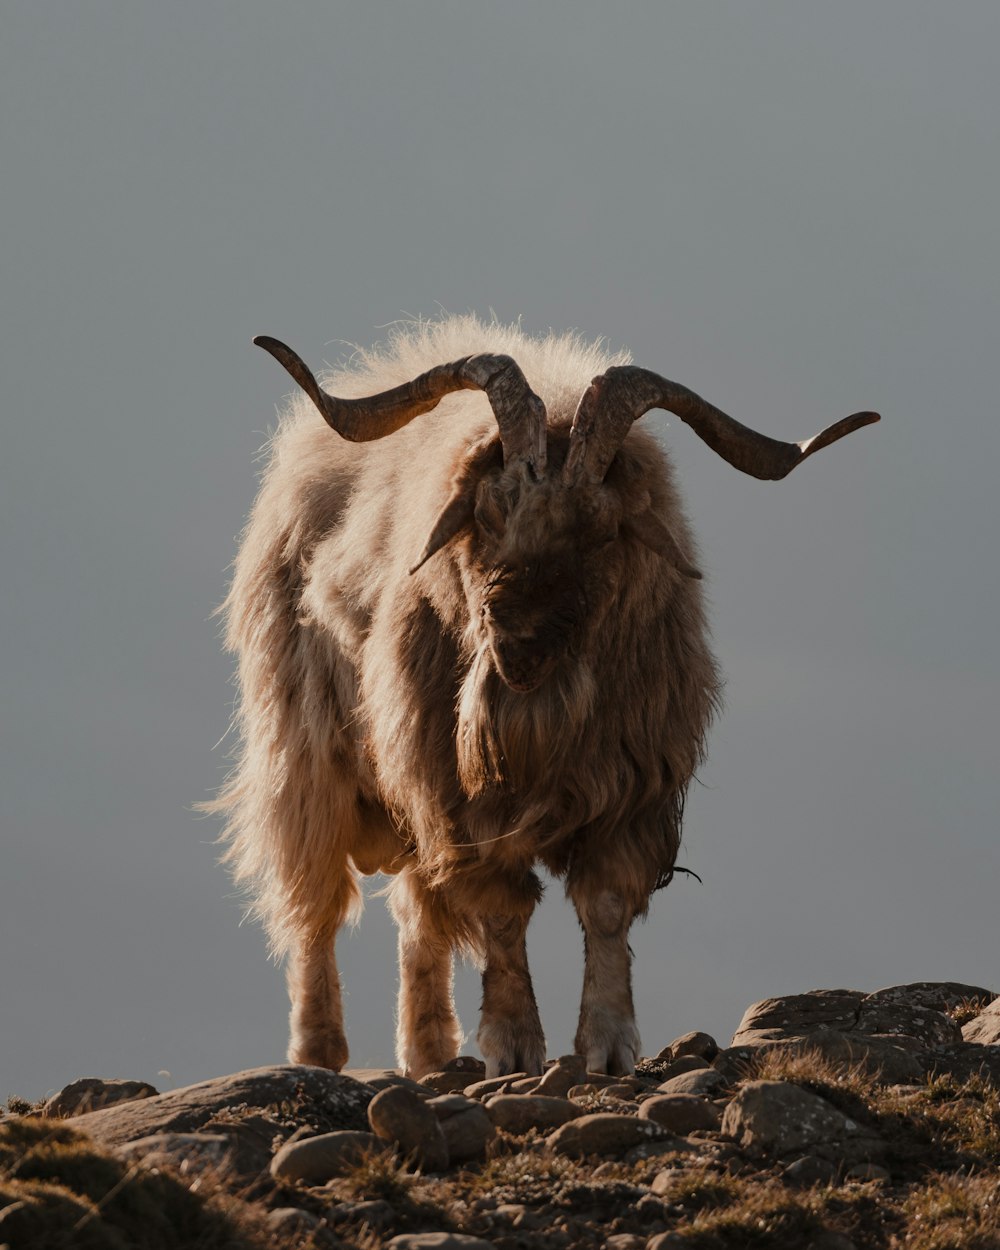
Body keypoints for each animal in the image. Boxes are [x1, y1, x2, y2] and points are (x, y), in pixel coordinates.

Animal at [215, 317, 880, 1080]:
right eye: (486, 510)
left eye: (604, 527)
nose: (521, 647)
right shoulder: (459, 797)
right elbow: (504, 911)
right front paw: (512, 1045)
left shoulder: (630, 792)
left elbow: (606, 905)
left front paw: (610, 1045)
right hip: (307, 757)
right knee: (316, 906)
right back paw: (320, 1052)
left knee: (417, 914)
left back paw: (430, 1052)